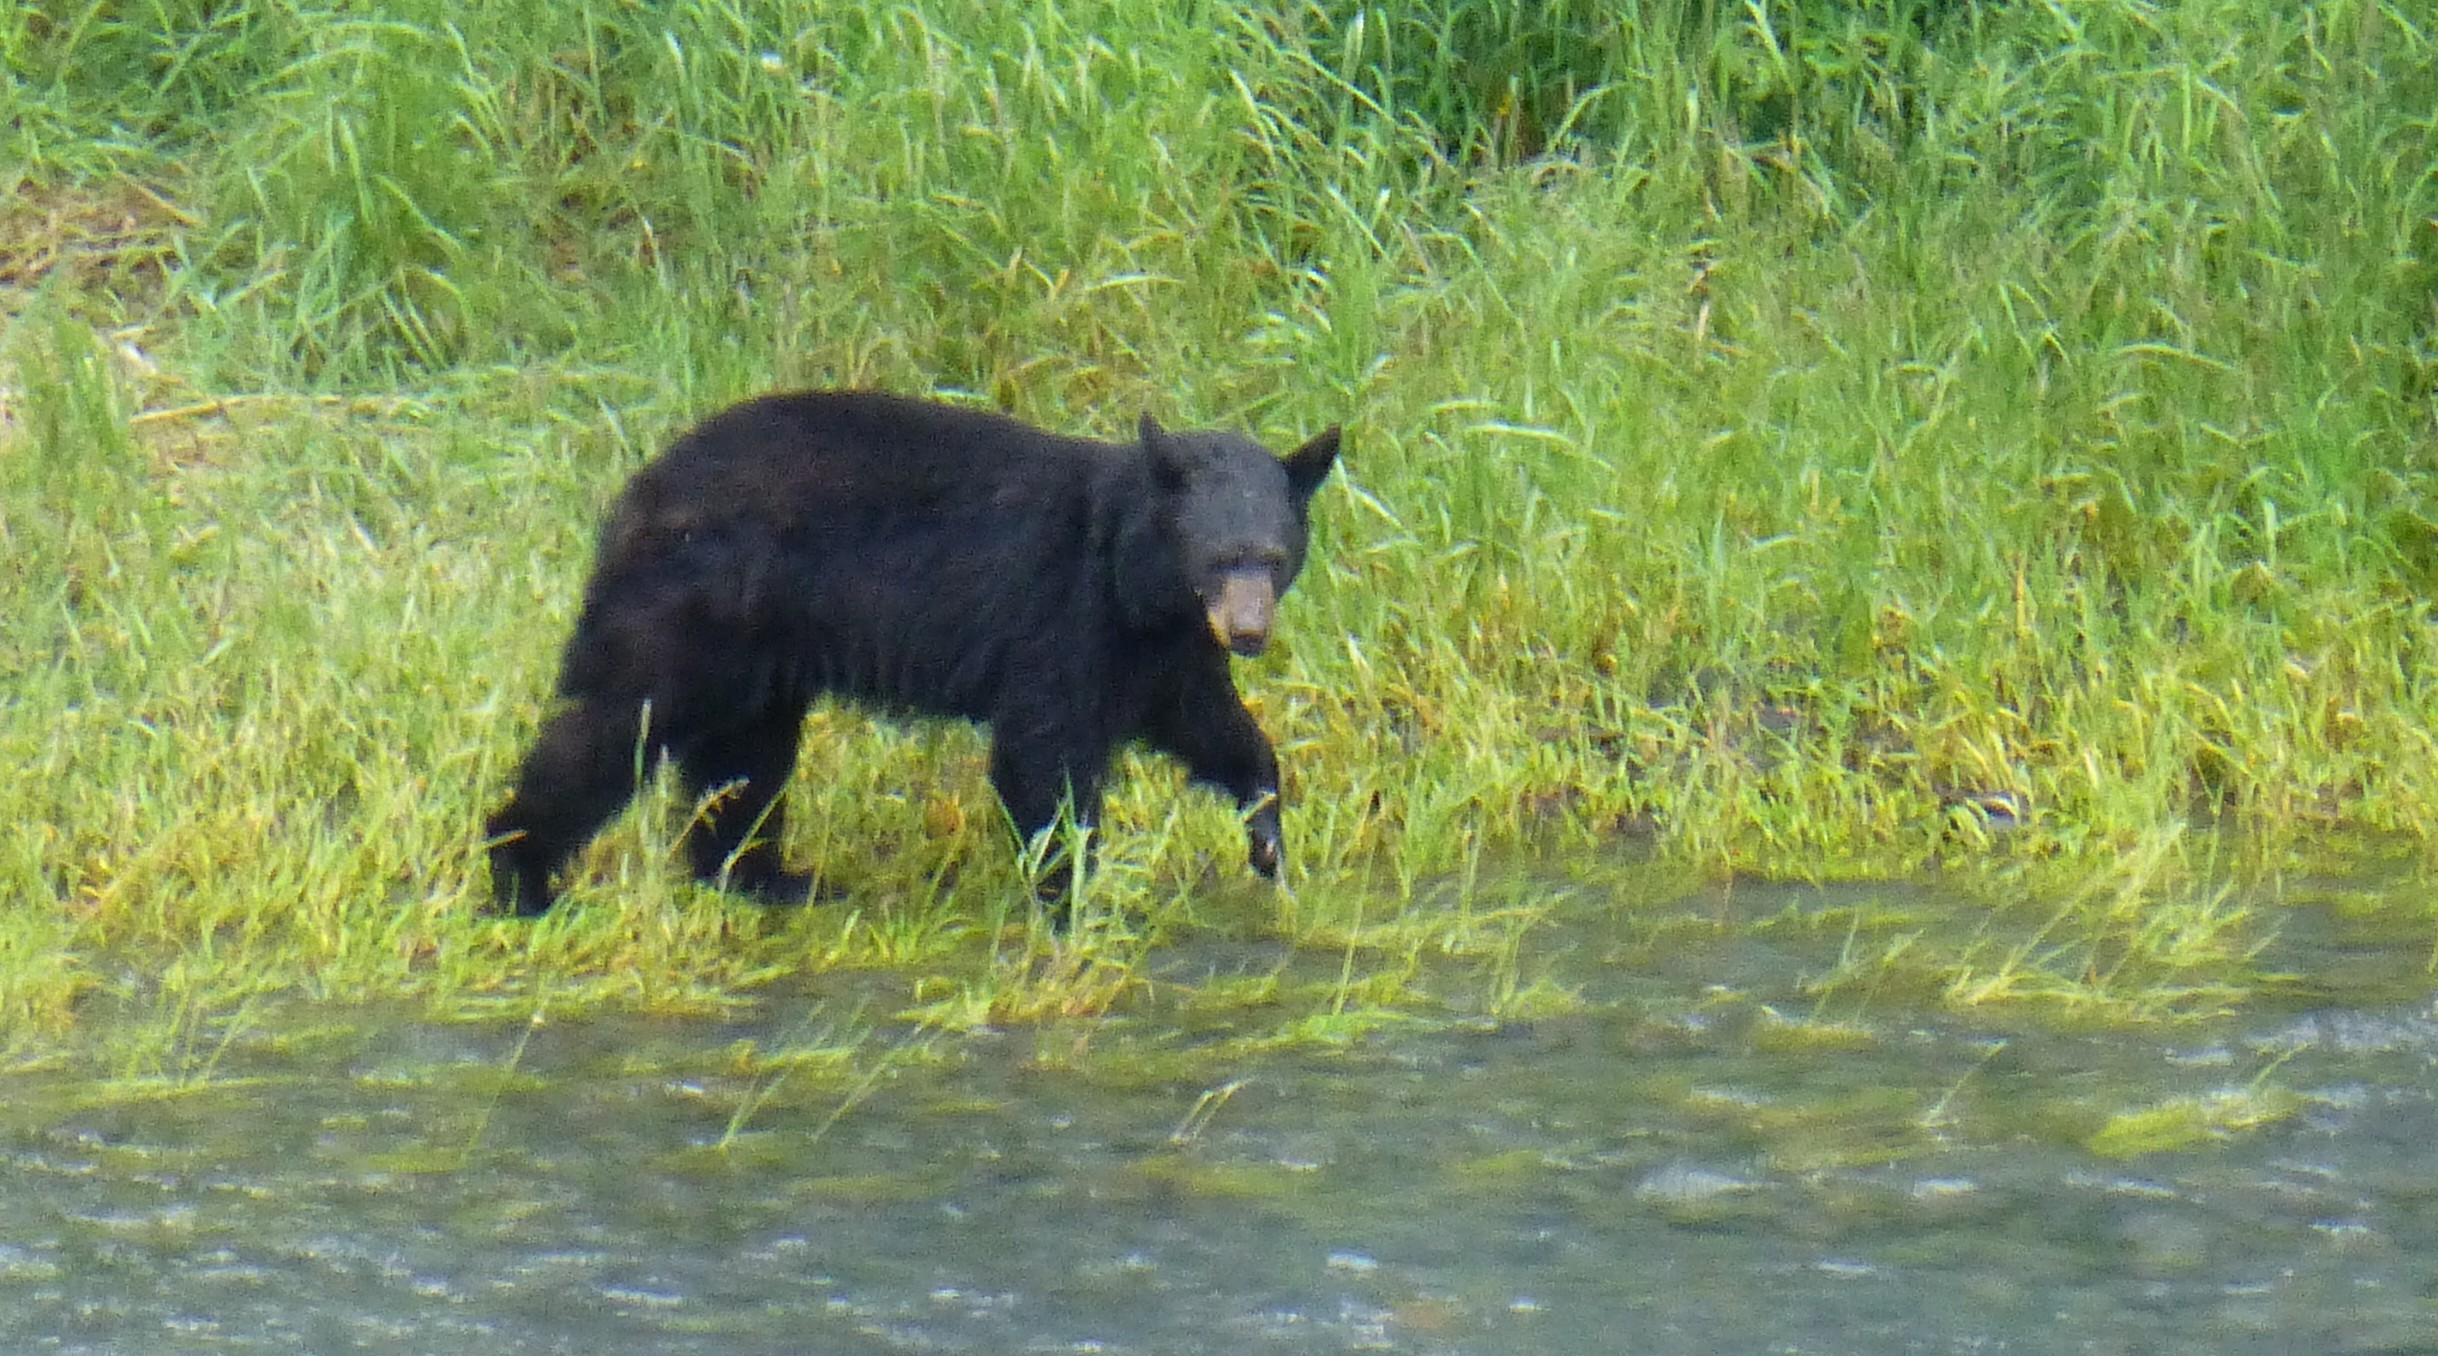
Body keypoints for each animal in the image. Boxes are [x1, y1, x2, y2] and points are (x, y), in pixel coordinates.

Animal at [485, 389, 1342, 918]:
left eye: (1274, 558)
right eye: (1222, 558)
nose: (1250, 634)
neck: (1137, 579)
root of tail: (636, 492)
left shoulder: (1165, 652)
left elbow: (1212, 726)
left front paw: (1267, 833)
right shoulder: (1061, 612)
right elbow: (1045, 749)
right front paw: (1068, 891)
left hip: (758, 653)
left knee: (746, 759)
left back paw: (765, 878)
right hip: (690, 606)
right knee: (615, 723)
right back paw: (522, 873)